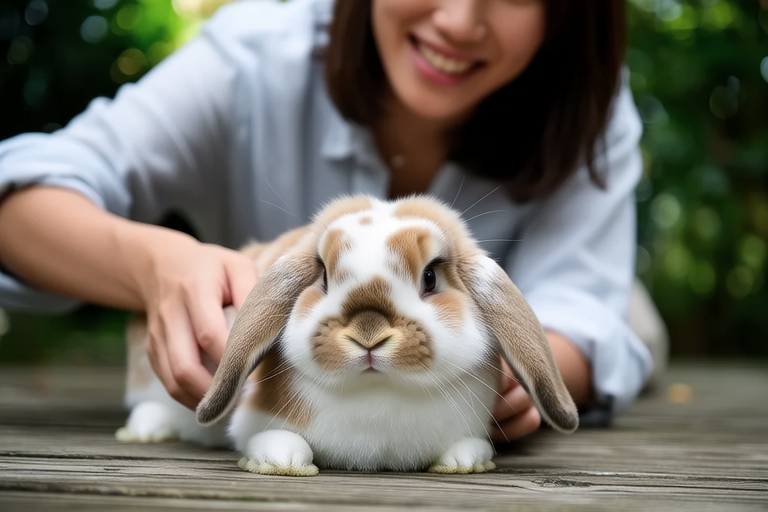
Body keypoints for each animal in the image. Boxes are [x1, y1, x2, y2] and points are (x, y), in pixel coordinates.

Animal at [118, 194, 578, 476]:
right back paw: (146, 431)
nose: (368, 333)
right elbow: (271, 438)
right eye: (323, 275)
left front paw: (465, 460)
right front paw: (283, 459)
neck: (378, 397)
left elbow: (468, 446)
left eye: (430, 277)